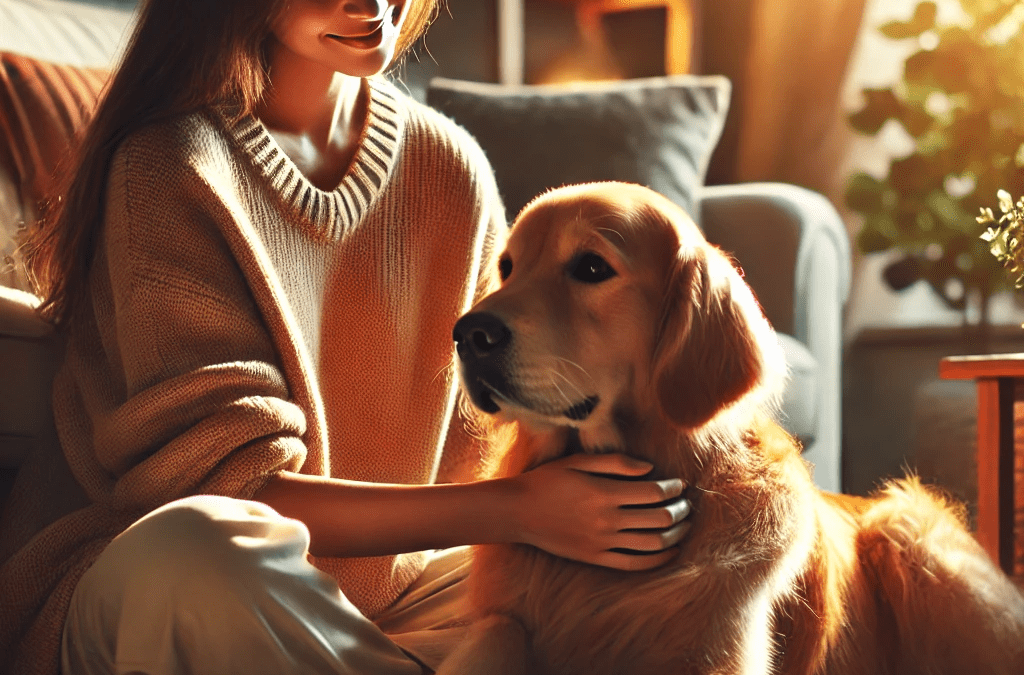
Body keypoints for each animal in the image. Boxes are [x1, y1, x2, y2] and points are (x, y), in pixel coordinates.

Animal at [442, 182, 1024, 671]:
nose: (468, 334)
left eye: (590, 267)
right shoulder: (500, 619)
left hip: (906, 528)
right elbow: (495, 635)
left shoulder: (717, 652)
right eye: (508, 267)